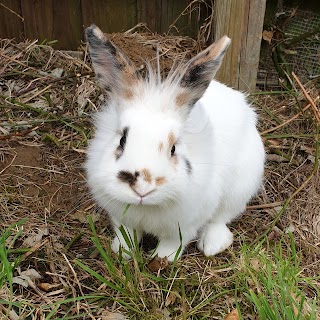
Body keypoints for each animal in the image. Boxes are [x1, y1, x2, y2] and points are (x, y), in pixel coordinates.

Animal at [84, 24, 264, 260]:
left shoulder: (186, 225)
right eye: (122, 140)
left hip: (240, 188)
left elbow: (173, 243)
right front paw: (122, 252)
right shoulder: (120, 216)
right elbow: (127, 234)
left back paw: (213, 245)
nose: (142, 188)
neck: (147, 207)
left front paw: (162, 259)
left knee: (221, 218)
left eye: (173, 148)